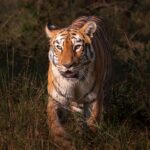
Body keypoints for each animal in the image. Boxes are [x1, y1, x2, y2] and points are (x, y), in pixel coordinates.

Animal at [45, 15, 112, 148]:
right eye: (59, 47)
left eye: (77, 47)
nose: (67, 65)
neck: (74, 84)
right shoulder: (55, 98)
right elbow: (54, 121)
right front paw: (63, 140)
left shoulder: (95, 98)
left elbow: (94, 119)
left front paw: (89, 138)